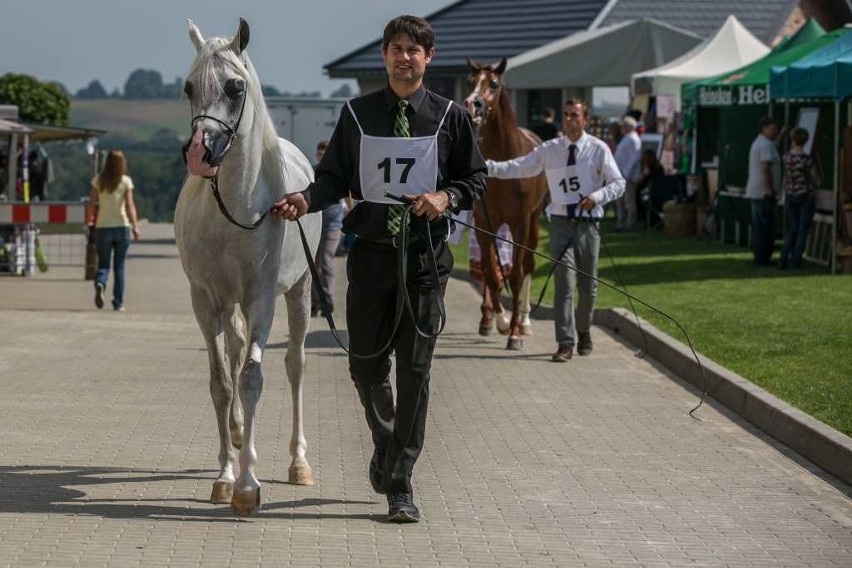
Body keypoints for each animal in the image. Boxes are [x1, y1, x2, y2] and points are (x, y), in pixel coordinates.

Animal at [175, 17, 322, 516]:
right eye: (188, 87)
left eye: (235, 86)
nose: (198, 154)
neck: (235, 207)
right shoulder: (206, 301)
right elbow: (223, 382)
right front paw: (224, 476)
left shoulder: (261, 299)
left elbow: (254, 378)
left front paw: (247, 485)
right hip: (229, 305)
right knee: (236, 354)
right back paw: (239, 436)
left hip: (299, 293)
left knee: (295, 365)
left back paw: (299, 463)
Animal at [466, 57, 544, 350]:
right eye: (470, 81)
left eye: (494, 83)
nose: (471, 104)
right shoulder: (484, 222)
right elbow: (490, 273)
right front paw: (500, 322)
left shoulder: (520, 222)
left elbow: (517, 275)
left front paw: (515, 334)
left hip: (534, 220)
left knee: (529, 266)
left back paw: (524, 321)